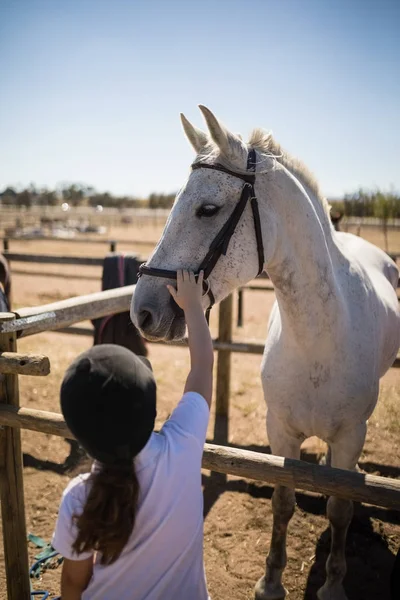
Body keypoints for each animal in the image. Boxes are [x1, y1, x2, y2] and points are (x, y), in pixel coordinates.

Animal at [131, 106, 400, 600]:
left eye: (208, 209)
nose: (143, 310)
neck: (318, 339)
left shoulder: (351, 434)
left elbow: (341, 508)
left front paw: (333, 585)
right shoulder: (281, 432)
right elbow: (283, 502)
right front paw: (271, 581)